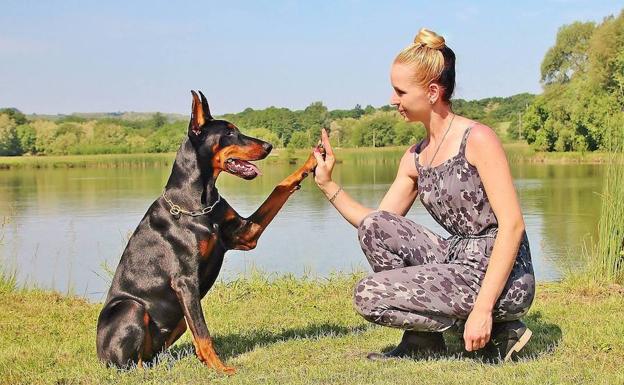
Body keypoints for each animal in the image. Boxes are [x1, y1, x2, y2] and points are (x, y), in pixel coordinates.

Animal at [97, 90, 322, 372]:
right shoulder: (185, 281)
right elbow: (203, 332)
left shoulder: (245, 234)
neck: (200, 202)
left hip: (177, 320)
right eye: (230, 132)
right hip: (131, 308)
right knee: (130, 364)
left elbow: (279, 187)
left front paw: (312, 159)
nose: (269, 146)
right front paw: (222, 368)